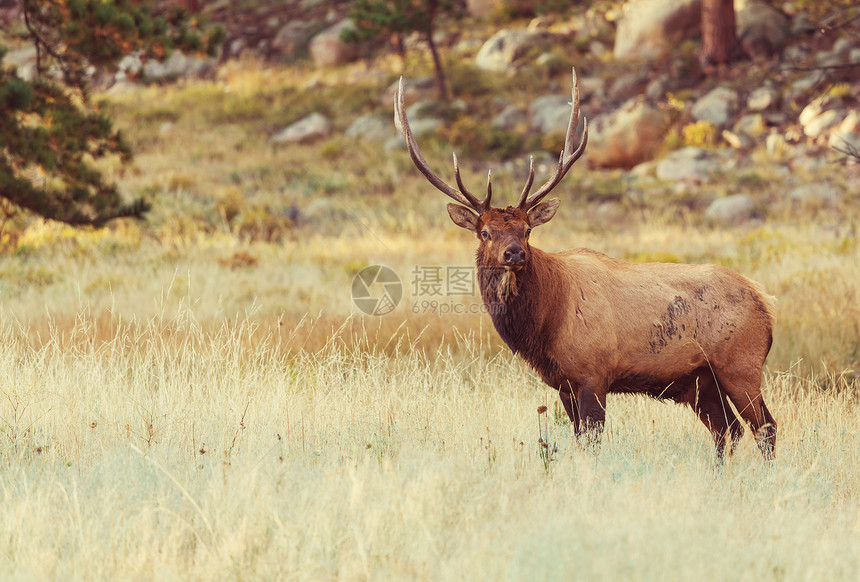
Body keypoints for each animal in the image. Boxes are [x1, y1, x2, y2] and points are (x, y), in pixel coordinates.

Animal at [396, 68, 780, 460]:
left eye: (528, 229)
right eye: (485, 232)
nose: (515, 253)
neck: (545, 322)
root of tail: (764, 302)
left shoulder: (593, 372)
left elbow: (592, 440)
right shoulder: (563, 384)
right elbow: (578, 437)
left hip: (741, 364)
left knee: (765, 427)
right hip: (699, 379)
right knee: (728, 429)